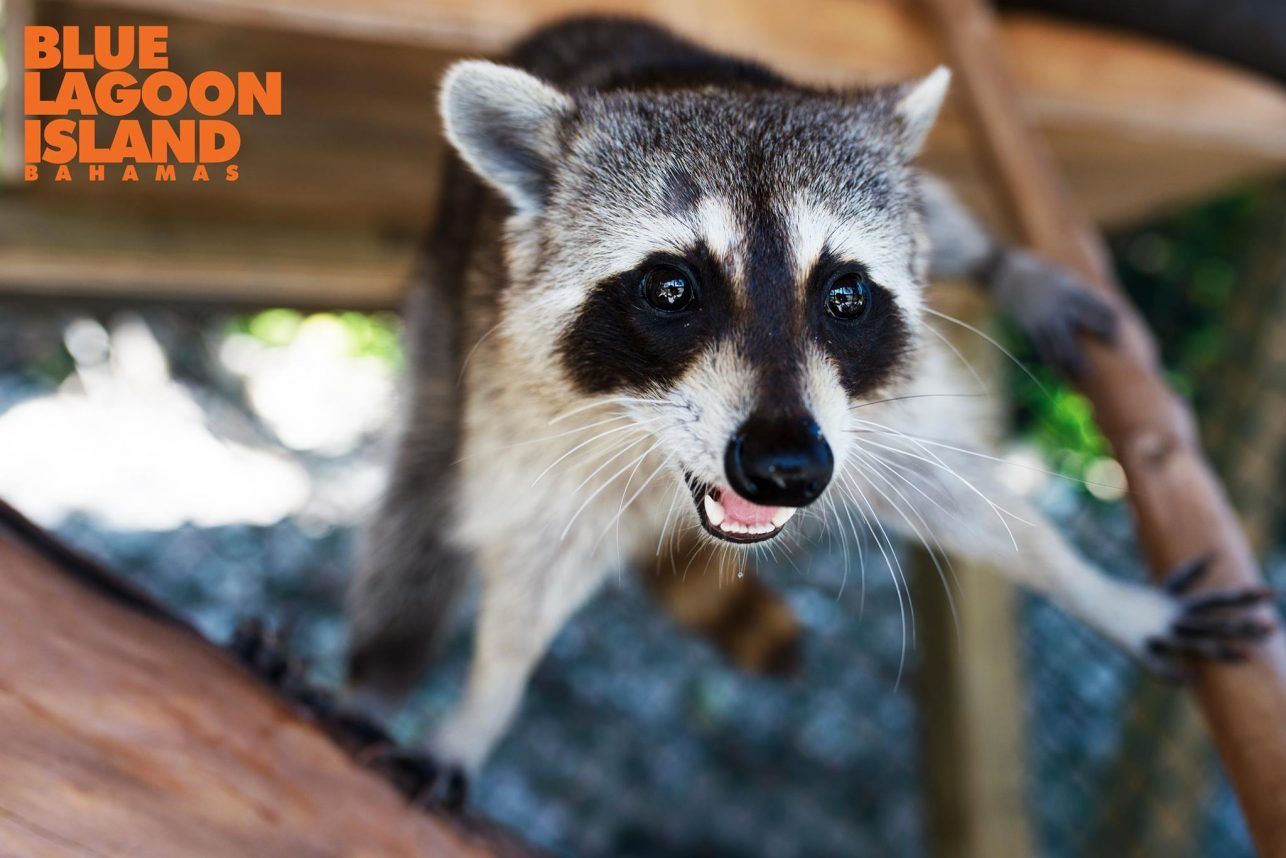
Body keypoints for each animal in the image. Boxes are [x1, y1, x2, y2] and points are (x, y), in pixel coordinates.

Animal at [346, 17, 1273, 794]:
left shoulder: (872, 410)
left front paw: (1096, 589)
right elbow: (530, 570)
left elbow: (965, 500)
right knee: (419, 506)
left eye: (846, 294)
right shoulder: (525, 411)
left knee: (943, 215)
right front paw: (480, 708)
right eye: (671, 288)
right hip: (443, 327)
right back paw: (374, 680)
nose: (787, 468)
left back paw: (1007, 264)